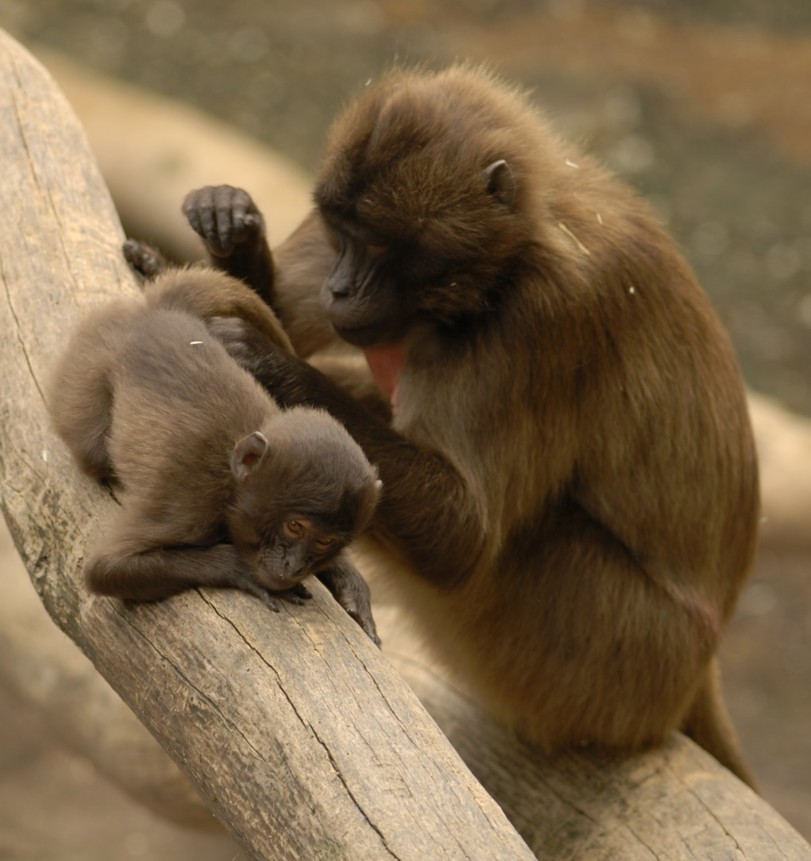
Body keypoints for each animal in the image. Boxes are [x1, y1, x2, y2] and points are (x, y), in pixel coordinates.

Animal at [49, 239, 382, 640]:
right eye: (294, 526)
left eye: (324, 541)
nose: (295, 564)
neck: (232, 476)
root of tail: (160, 314)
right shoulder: (190, 502)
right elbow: (105, 570)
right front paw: (240, 567)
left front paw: (346, 578)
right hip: (90, 366)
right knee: (94, 450)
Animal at [184, 63, 760, 784]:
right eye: (343, 232)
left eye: (378, 244)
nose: (339, 288)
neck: (512, 255)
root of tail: (696, 673)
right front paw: (229, 229)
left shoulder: (545, 316)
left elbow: (466, 539)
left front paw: (266, 361)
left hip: (614, 657)